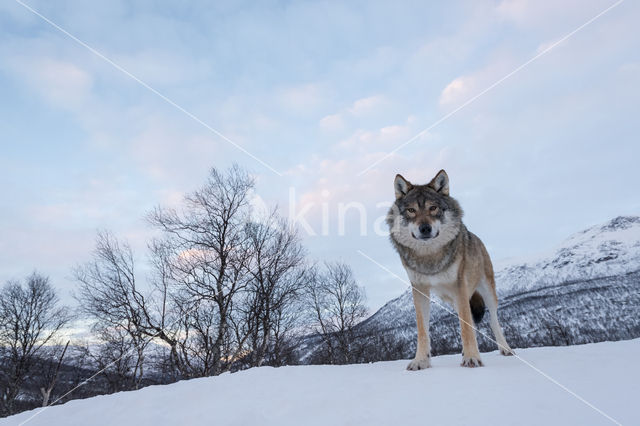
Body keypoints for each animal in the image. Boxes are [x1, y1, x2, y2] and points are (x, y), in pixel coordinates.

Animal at [384, 170, 516, 370]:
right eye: (411, 210)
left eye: (433, 208)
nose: (425, 228)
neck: (430, 257)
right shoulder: (419, 290)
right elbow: (423, 331)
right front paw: (421, 361)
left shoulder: (460, 286)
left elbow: (466, 327)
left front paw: (472, 358)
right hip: (453, 299)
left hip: (485, 292)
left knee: (493, 320)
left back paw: (505, 348)